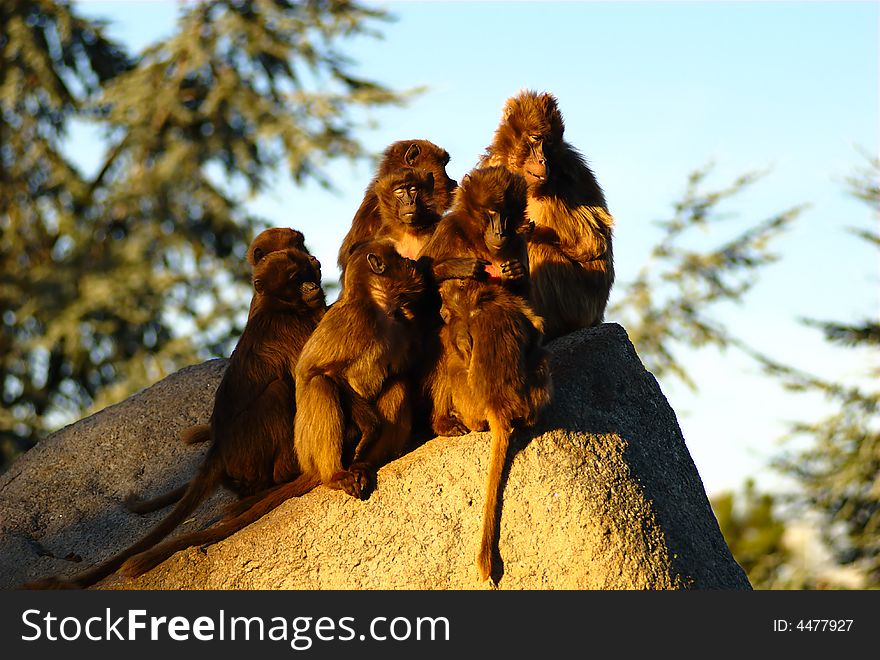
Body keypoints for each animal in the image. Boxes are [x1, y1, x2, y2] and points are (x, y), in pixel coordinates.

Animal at [26, 246, 326, 588]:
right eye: (296, 277)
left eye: (307, 272)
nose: (312, 285)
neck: (282, 308)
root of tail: (219, 451)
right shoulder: (294, 328)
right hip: (250, 455)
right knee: (276, 390)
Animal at [420, 166, 552, 584]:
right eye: (490, 214)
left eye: (507, 216)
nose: (500, 231)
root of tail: (496, 405)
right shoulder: (447, 232)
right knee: (443, 340)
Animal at [482, 90, 612, 338]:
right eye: (535, 138)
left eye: (548, 142)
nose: (542, 160)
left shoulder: (569, 168)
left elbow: (592, 243)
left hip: (582, 303)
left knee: (538, 248)